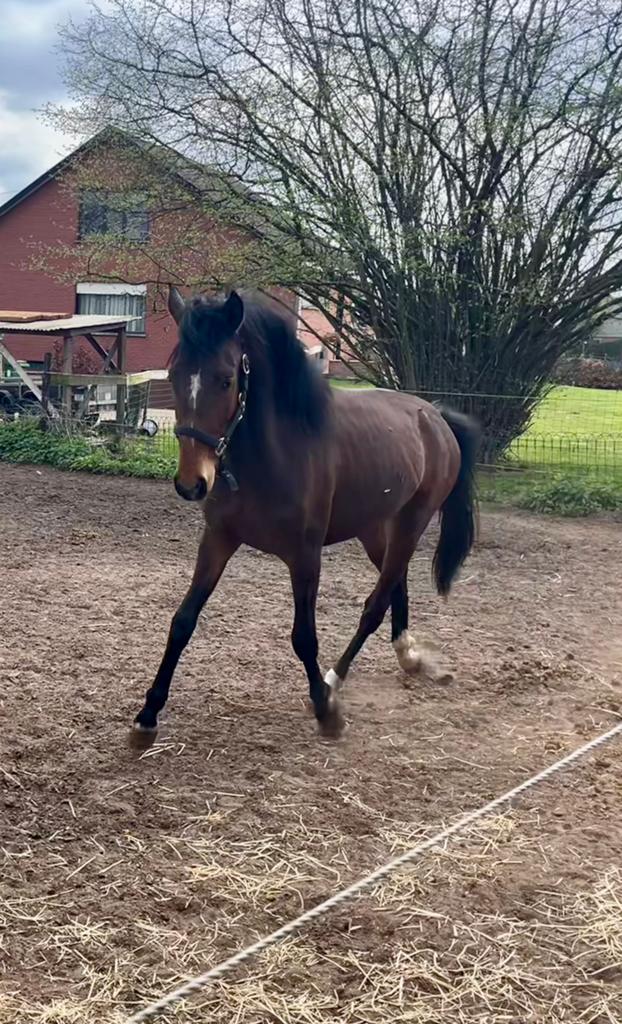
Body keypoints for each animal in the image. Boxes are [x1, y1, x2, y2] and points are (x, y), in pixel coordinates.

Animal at [131, 287, 478, 744]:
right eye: (174, 376)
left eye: (226, 379)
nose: (192, 484)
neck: (274, 455)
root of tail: (436, 416)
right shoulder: (218, 539)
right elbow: (183, 621)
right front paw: (148, 713)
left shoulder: (305, 556)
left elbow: (304, 637)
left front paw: (325, 710)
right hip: (375, 529)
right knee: (395, 586)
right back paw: (407, 654)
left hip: (412, 522)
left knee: (376, 602)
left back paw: (335, 679)